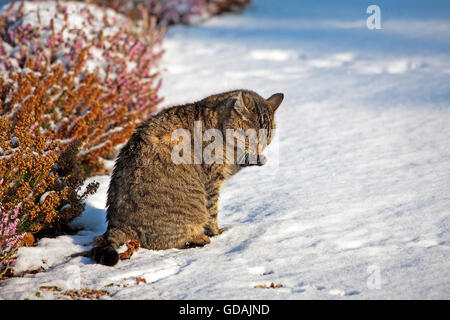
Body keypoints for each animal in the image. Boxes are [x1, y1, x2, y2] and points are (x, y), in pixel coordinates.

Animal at [89, 89, 284, 264]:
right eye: (250, 137)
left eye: (267, 139)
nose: (258, 149)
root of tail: (116, 224)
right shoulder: (212, 180)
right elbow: (212, 212)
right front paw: (216, 232)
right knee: (164, 242)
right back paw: (199, 238)